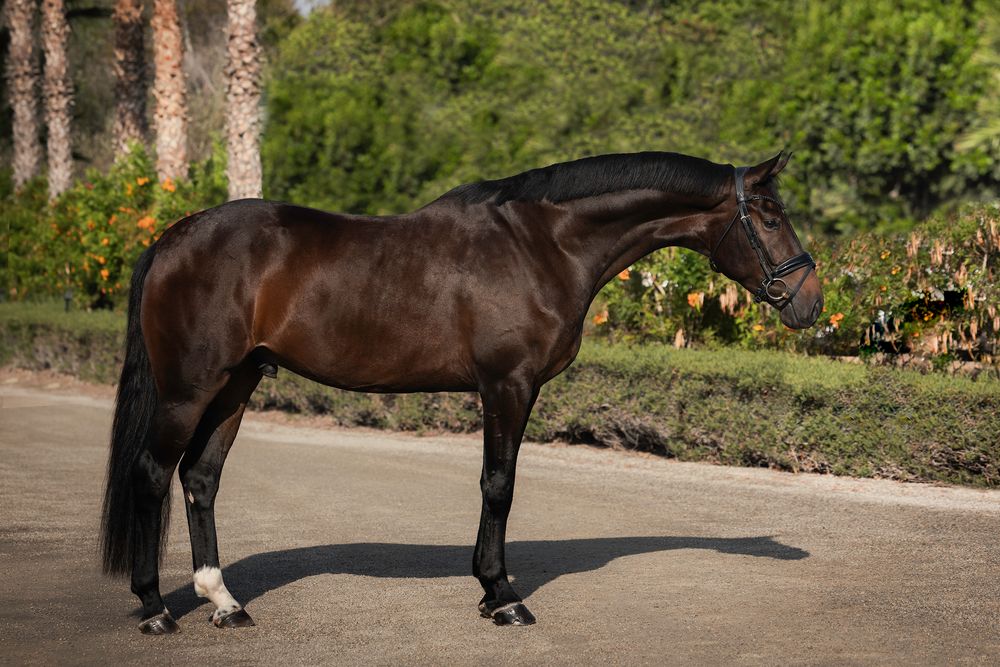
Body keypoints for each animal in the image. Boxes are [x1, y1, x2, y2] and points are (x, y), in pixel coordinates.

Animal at [100, 150, 822, 634]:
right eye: (769, 215)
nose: (810, 300)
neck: (543, 244)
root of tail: (170, 238)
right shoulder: (507, 385)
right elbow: (498, 484)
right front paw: (501, 595)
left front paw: (491, 589)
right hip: (191, 389)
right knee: (152, 473)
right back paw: (155, 608)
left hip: (238, 382)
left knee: (200, 478)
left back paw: (223, 602)